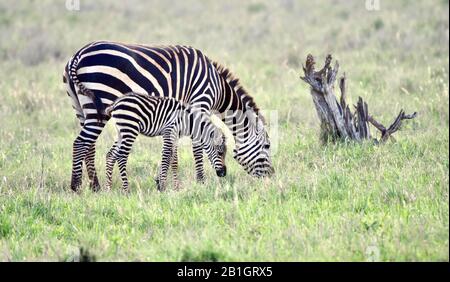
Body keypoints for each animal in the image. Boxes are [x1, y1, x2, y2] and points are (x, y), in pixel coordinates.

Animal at [63, 40, 274, 192]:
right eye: (267, 146)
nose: (271, 176)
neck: (218, 87)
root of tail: (77, 55)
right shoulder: (200, 102)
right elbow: (197, 146)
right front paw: (200, 180)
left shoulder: (180, 113)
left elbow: (173, 149)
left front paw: (164, 181)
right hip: (100, 102)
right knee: (80, 143)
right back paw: (76, 186)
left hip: (81, 108)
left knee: (89, 145)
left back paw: (95, 186)